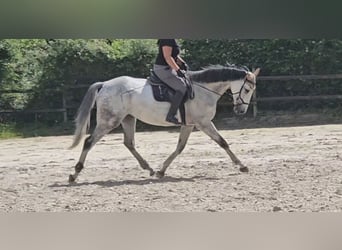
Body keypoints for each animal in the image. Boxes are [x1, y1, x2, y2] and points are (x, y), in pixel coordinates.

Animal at [69, 64, 260, 183]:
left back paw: (149, 169)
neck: (203, 90)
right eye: (247, 89)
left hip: (128, 118)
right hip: (110, 121)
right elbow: (223, 142)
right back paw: (74, 173)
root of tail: (105, 84)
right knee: (89, 142)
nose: (240, 111)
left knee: (129, 143)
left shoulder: (189, 125)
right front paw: (242, 166)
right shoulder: (204, 123)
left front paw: (161, 171)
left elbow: (180, 147)